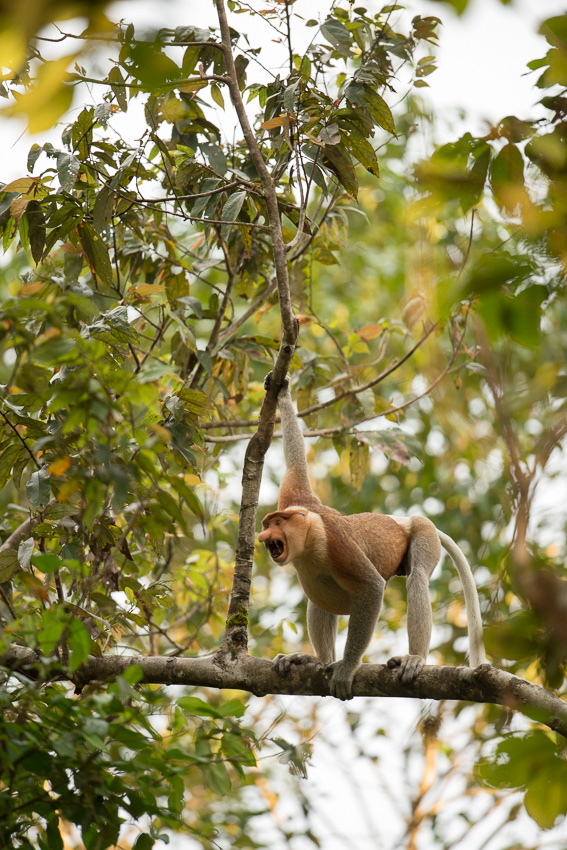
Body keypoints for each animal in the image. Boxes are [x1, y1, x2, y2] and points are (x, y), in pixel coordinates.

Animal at [260, 374, 486, 700]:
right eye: (267, 523)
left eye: (277, 522)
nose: (263, 533)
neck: (312, 534)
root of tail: (405, 519)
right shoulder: (297, 498)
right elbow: (295, 462)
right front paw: (282, 391)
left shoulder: (338, 544)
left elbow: (372, 587)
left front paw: (346, 669)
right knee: (318, 594)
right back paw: (317, 659)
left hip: (424, 533)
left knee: (417, 577)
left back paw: (414, 658)